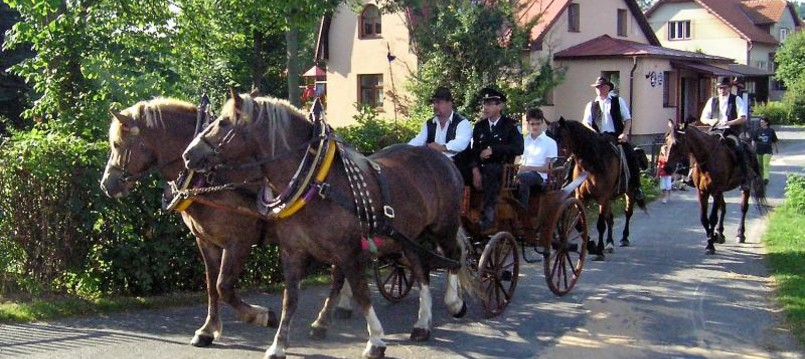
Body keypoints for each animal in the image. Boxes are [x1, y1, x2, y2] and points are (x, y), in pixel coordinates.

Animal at [98, 99, 354, 352]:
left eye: (117, 144)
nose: (106, 185)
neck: (211, 176)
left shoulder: (238, 242)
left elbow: (224, 286)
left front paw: (262, 316)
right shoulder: (206, 241)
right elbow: (211, 286)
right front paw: (207, 330)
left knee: (338, 274)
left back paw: (323, 321)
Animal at [182, 92, 472, 359]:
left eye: (223, 123)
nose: (188, 154)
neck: (316, 182)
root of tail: (440, 157)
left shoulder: (348, 252)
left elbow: (362, 293)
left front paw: (375, 340)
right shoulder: (292, 251)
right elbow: (290, 298)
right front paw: (278, 344)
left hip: (443, 226)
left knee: (453, 256)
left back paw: (454, 302)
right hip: (408, 235)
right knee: (420, 270)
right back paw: (422, 324)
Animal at [548, 118, 648, 262]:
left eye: (560, 137)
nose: (553, 164)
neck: (592, 163)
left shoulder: (602, 197)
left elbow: (600, 225)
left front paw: (599, 250)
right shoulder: (581, 197)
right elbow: (580, 224)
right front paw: (592, 246)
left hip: (629, 192)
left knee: (628, 213)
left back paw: (624, 238)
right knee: (610, 218)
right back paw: (609, 243)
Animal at [660, 121, 768, 256]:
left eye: (677, 143)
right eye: (666, 140)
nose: (667, 168)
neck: (707, 159)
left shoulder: (716, 191)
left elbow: (712, 218)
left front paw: (710, 245)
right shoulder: (702, 192)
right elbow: (704, 219)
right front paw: (712, 238)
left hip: (744, 187)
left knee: (743, 208)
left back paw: (740, 234)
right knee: (724, 207)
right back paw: (720, 233)